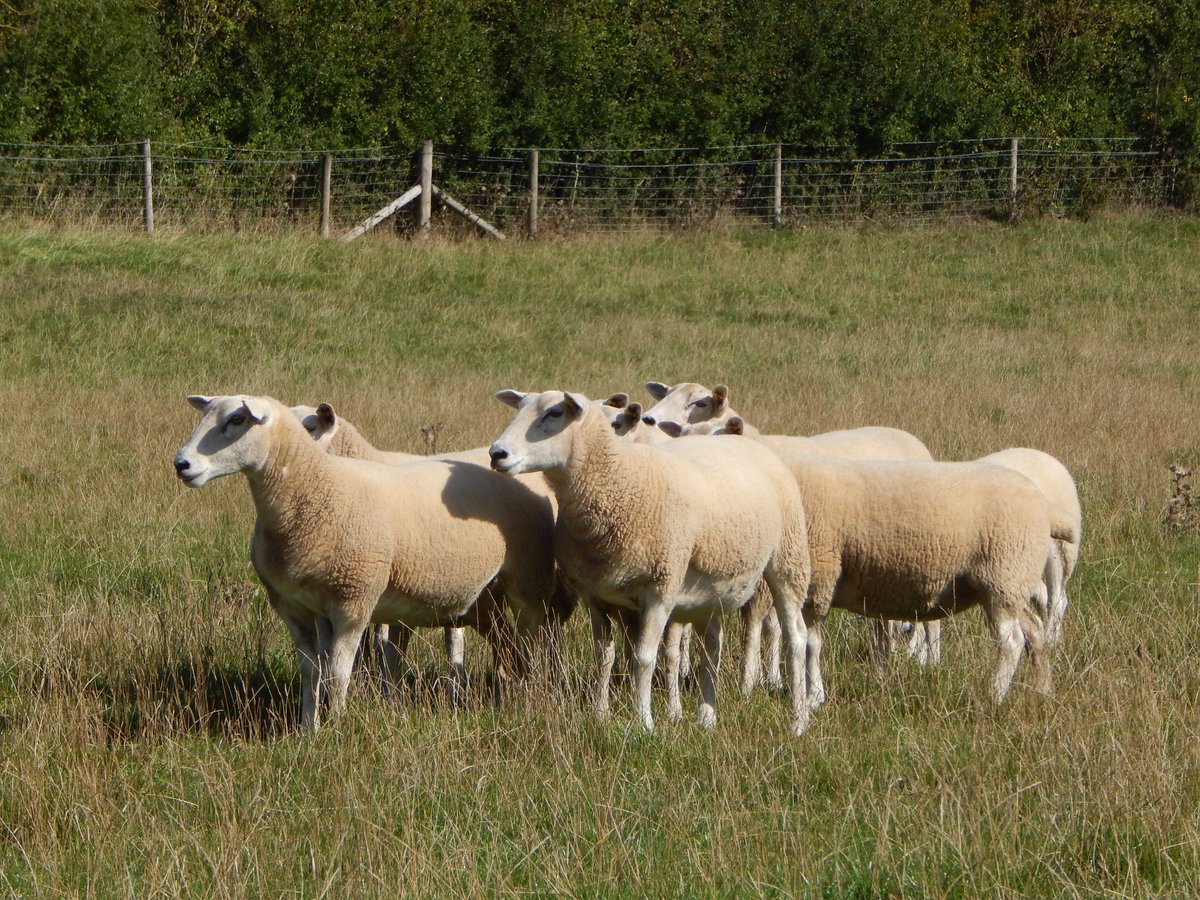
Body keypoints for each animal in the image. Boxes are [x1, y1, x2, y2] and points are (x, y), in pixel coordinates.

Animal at [173, 394, 560, 730]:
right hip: (482, 598)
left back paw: (532, 696)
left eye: (237, 420)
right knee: (506, 645)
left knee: (534, 640)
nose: (181, 464)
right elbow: (312, 672)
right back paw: (503, 693)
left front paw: (338, 727)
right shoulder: (297, 606)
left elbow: (340, 672)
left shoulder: (354, 600)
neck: (317, 488)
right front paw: (307, 730)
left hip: (528, 581)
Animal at [488, 390, 814, 736]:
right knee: (712, 646)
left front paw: (644, 723)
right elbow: (604, 656)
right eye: (520, 409)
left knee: (796, 637)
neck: (621, 482)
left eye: (554, 413)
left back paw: (798, 720)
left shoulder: (661, 589)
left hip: (788, 556)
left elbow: (644, 658)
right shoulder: (595, 595)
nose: (496, 453)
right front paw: (600, 714)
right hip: (713, 583)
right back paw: (706, 717)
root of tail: (748, 441)